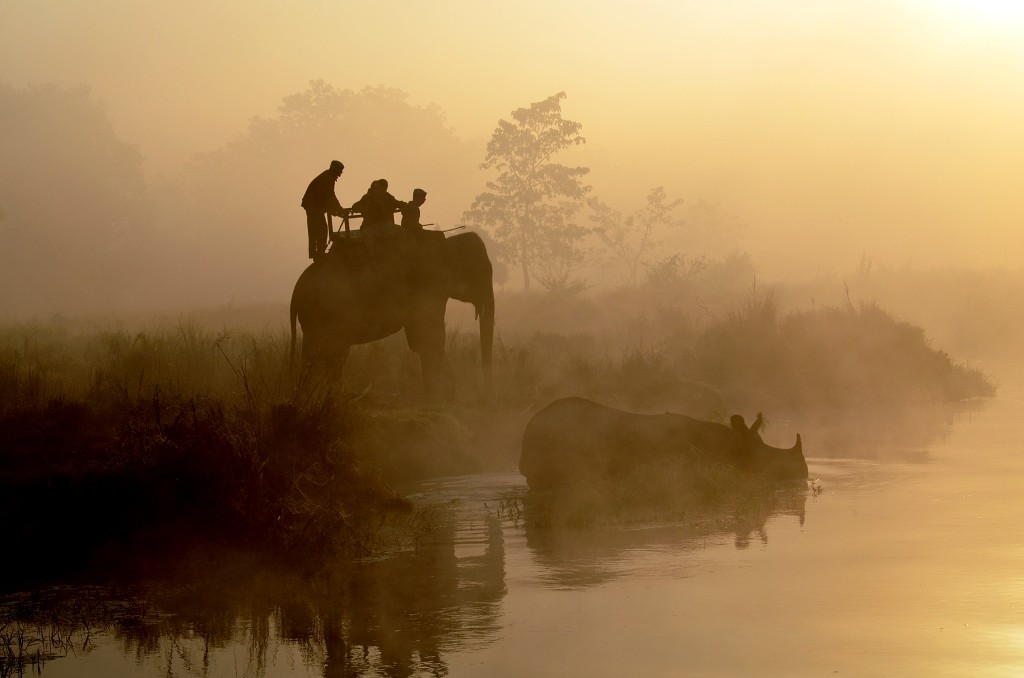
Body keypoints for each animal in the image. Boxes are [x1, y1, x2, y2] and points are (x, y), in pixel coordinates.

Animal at [288, 228, 495, 399]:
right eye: (481, 274)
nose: (485, 393)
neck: (446, 244)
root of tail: (296, 289)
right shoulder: (426, 287)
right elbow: (428, 338)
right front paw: (440, 397)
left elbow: (423, 340)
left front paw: (443, 395)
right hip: (325, 312)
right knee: (331, 352)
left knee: (323, 352)